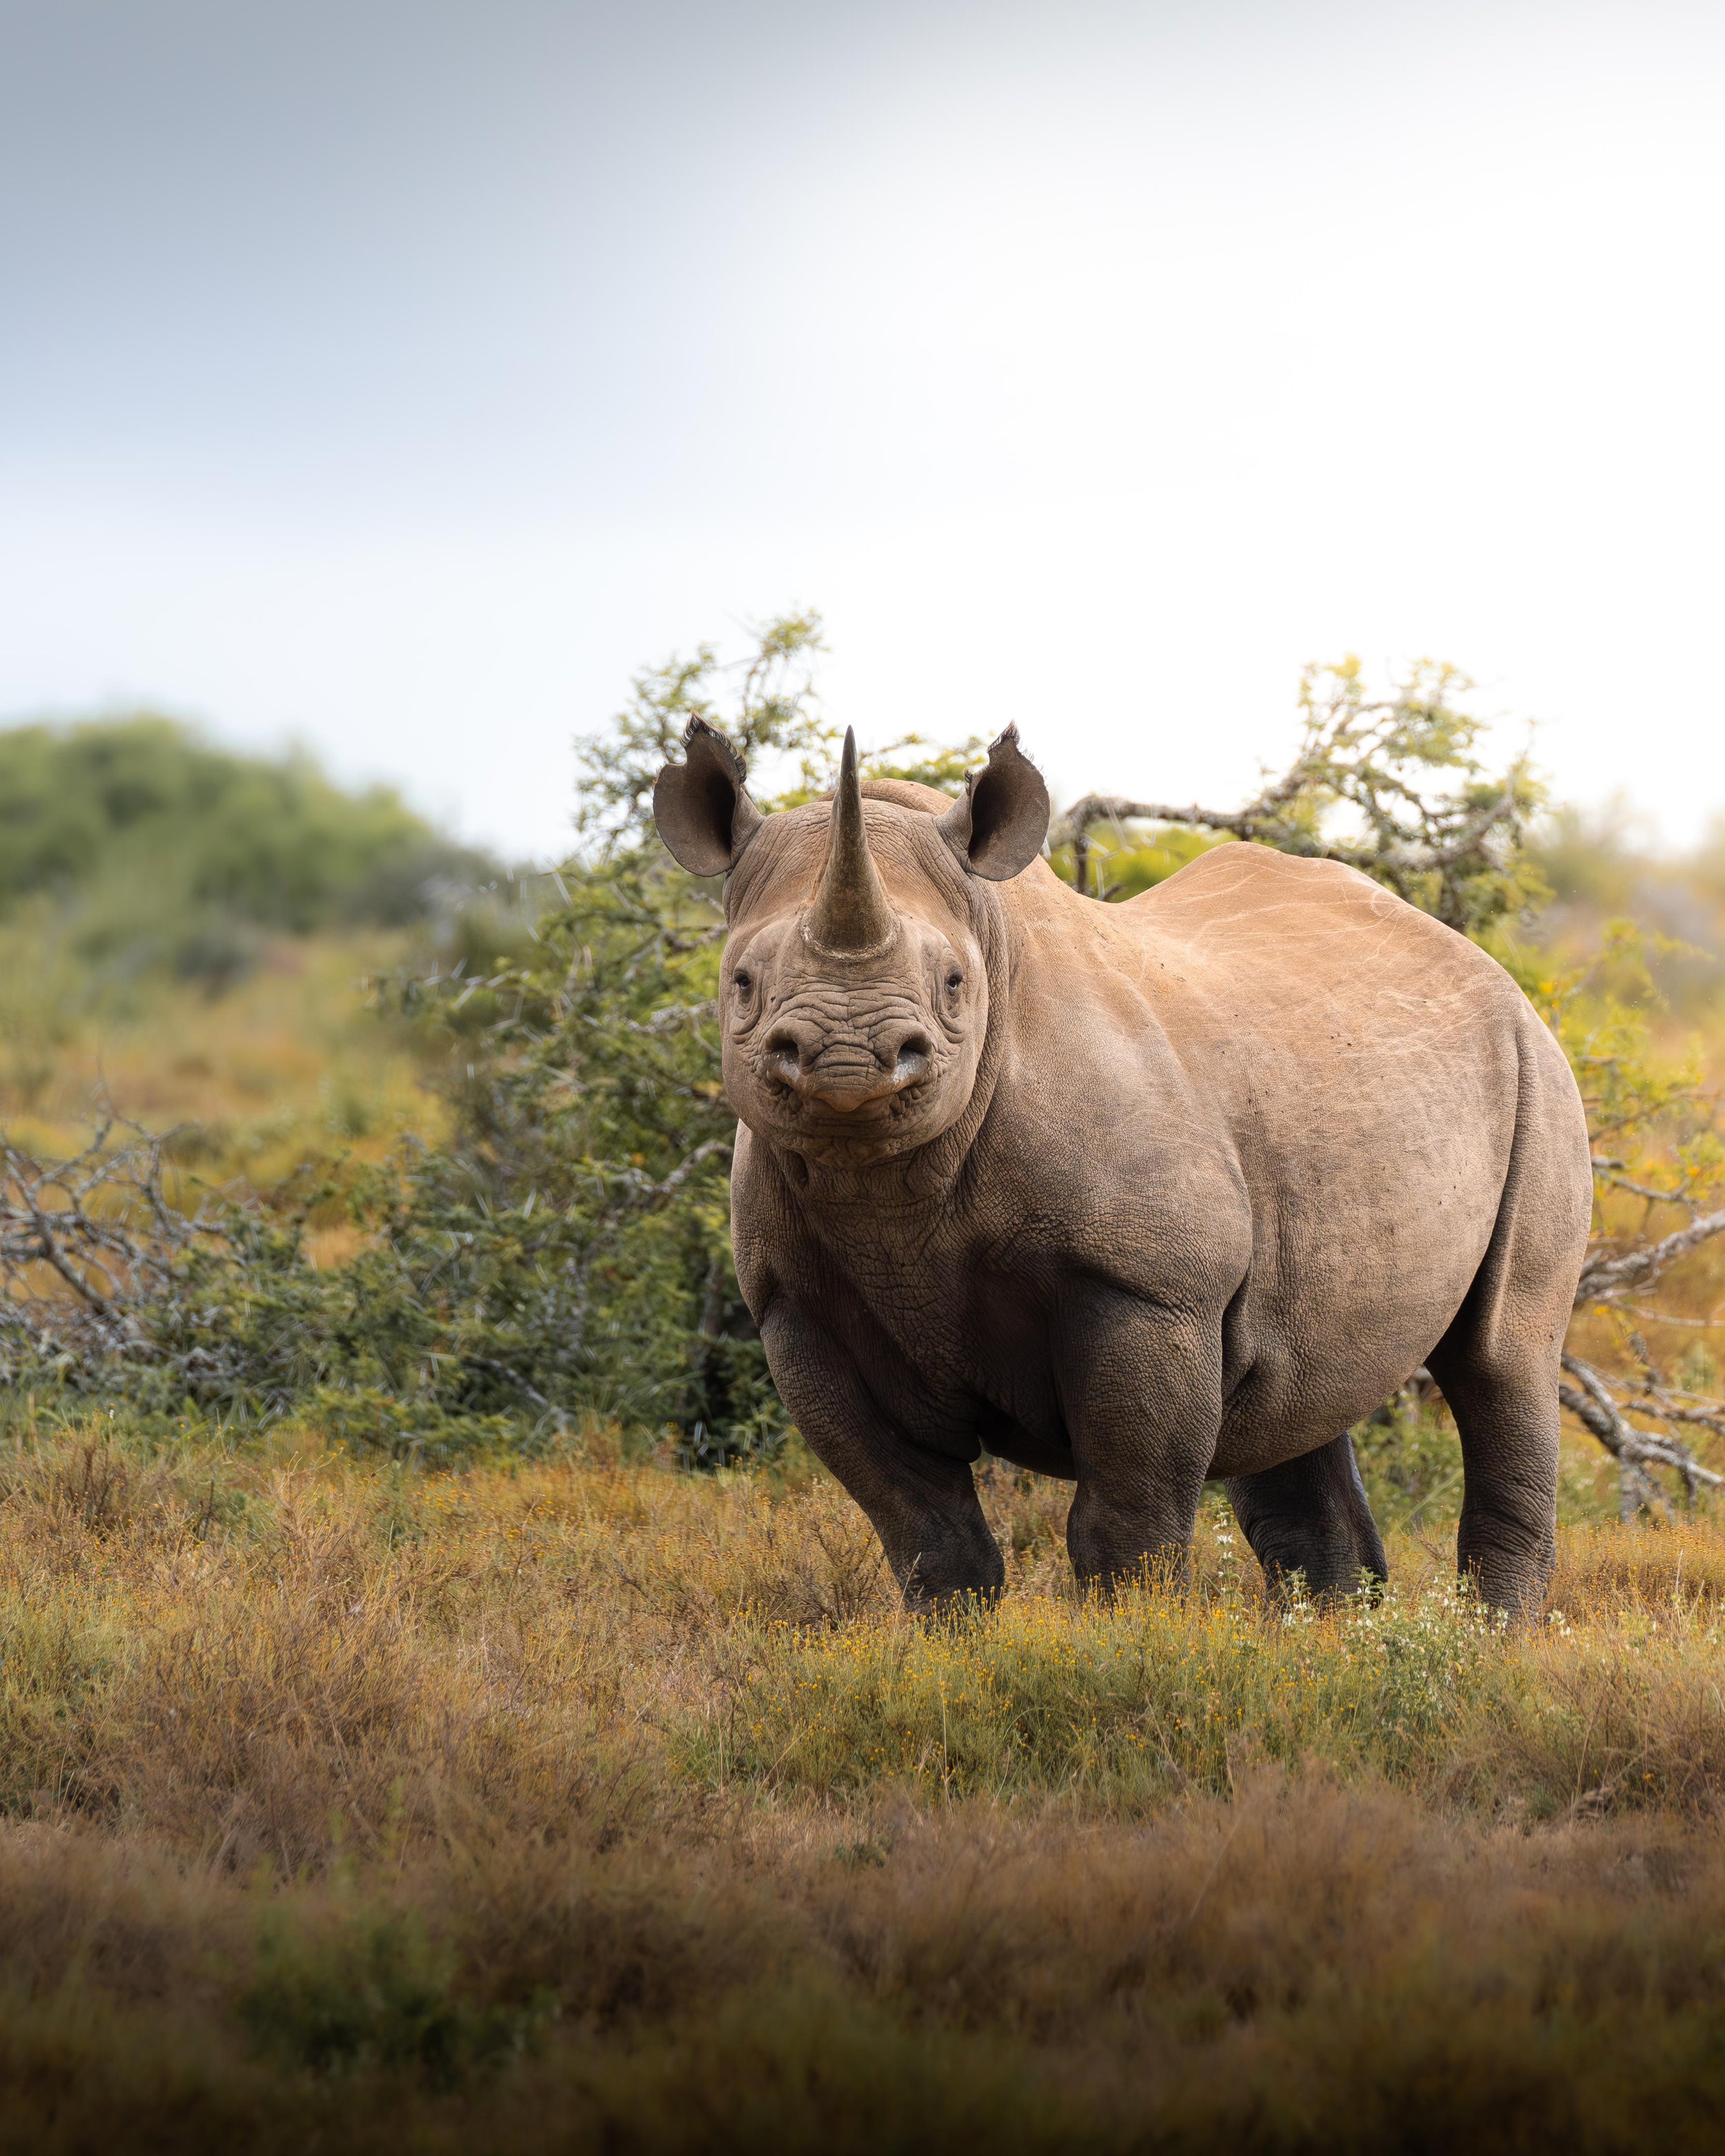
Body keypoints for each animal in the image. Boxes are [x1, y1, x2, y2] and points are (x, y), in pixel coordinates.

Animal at [653, 720, 1592, 1615]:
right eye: (742, 982)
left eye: (954, 983)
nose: (849, 1058)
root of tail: (1479, 957)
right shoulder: (796, 1307)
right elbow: (926, 1533)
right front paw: (952, 1649)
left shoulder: (1149, 1284)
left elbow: (1125, 1523)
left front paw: (1133, 1641)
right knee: (1293, 1396)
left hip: (1534, 1067)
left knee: (1500, 1358)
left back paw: (1487, 1643)